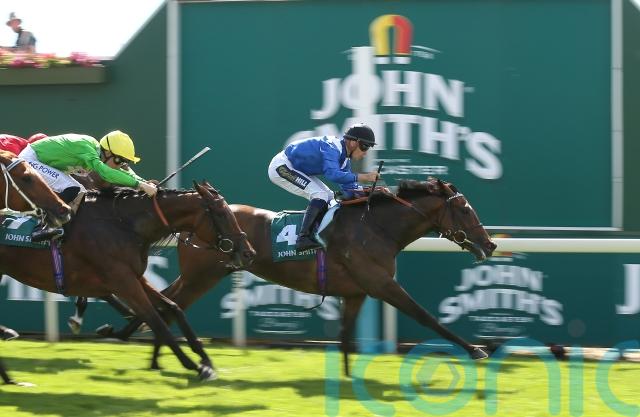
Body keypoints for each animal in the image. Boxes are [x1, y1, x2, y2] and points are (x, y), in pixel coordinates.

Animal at [0, 181, 256, 380]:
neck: (124, 225)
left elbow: (173, 307)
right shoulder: (122, 280)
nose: (248, 253)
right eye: (221, 214)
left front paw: (205, 360)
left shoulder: (134, 277)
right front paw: (192, 365)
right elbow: (156, 320)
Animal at [97, 177, 496, 375]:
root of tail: (187, 225)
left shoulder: (357, 292)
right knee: (169, 303)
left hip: (203, 274)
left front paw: (348, 379)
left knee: (165, 300)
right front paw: (476, 350)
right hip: (203, 276)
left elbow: (345, 336)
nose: (490, 244)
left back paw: (143, 348)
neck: (376, 226)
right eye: (465, 209)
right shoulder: (382, 284)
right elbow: (428, 317)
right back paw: (147, 350)